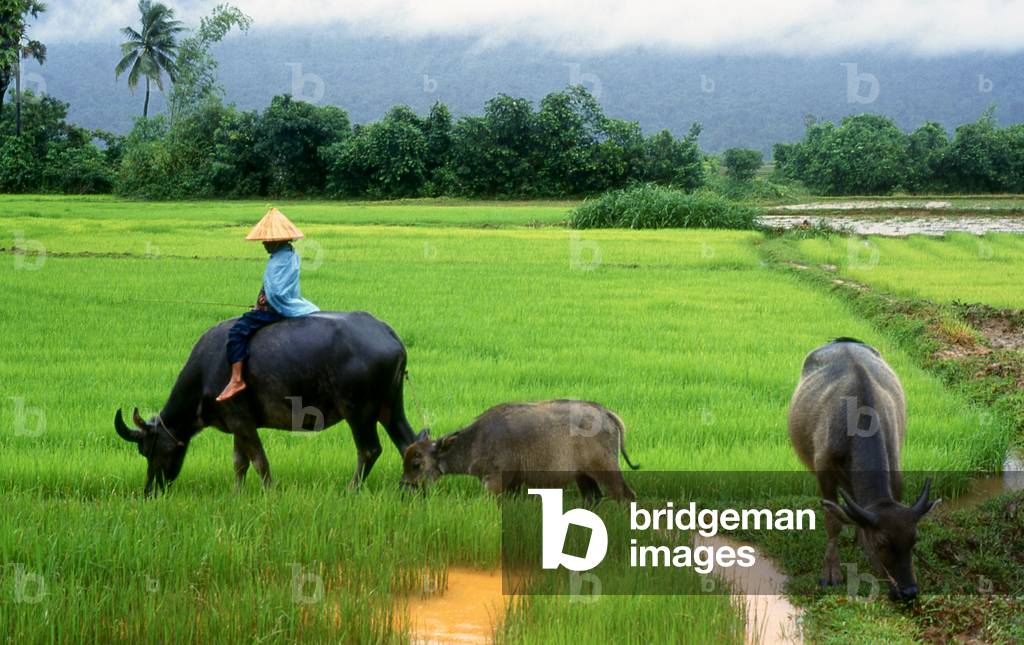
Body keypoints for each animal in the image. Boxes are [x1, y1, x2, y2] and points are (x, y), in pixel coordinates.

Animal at [114, 311, 420, 496]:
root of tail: (388, 334)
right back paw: (412, 488)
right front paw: (237, 492)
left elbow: (259, 461)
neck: (206, 370)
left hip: (359, 411)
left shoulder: (241, 421)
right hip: (391, 407)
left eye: (147, 449)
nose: (150, 490)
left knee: (369, 450)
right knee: (409, 443)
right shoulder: (237, 424)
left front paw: (269, 490)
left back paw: (351, 489)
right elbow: (239, 462)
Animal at [400, 400, 640, 502]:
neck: (477, 439)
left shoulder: (494, 482)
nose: (404, 485)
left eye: (416, 464)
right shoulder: (513, 484)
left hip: (606, 471)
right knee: (593, 497)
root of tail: (605, 412)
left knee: (624, 496)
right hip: (583, 477)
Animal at [788, 338, 939, 602]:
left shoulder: (895, 468)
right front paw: (831, 572)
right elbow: (833, 521)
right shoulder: (824, 471)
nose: (908, 591)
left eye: (914, 540)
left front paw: (860, 539)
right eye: (881, 543)